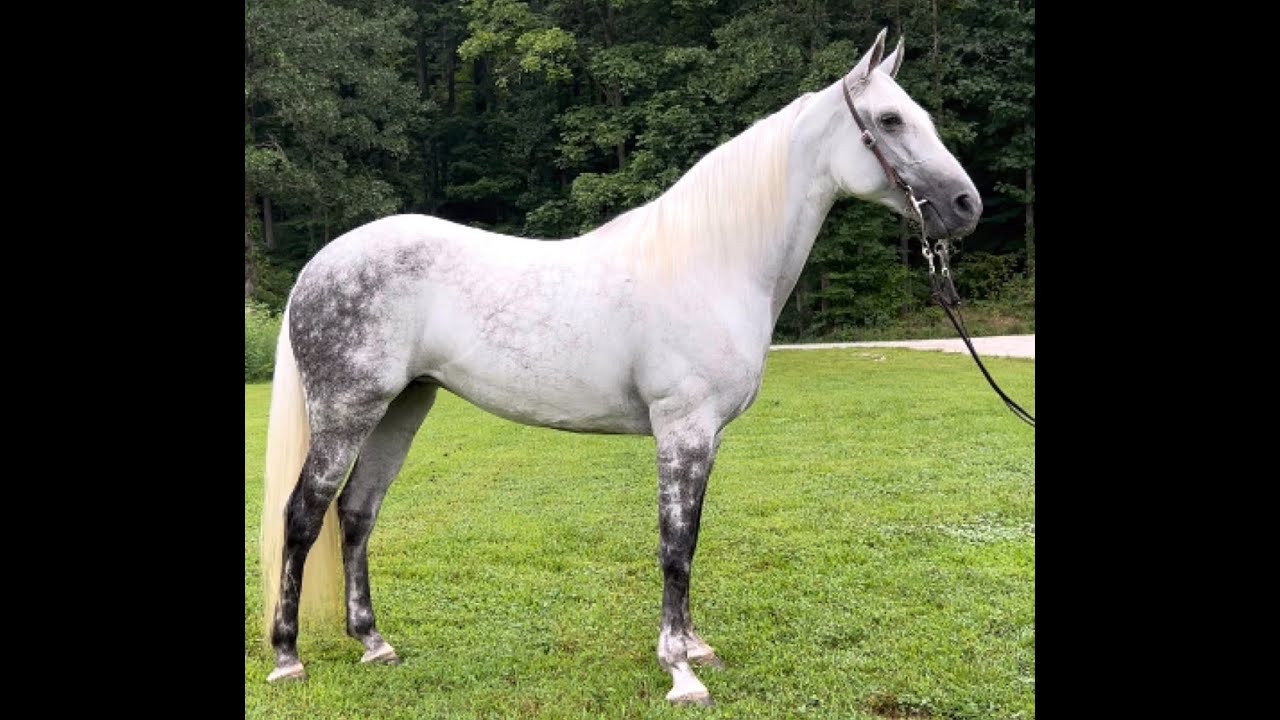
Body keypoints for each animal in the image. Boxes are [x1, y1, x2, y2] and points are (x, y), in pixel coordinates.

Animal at [258, 28, 982, 707]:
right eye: (890, 120)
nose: (967, 206)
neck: (712, 261)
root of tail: (320, 265)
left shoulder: (706, 437)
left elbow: (690, 542)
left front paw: (695, 646)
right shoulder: (682, 429)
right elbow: (673, 547)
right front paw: (681, 672)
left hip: (403, 406)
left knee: (357, 513)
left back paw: (373, 643)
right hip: (347, 411)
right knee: (303, 515)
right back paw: (287, 657)